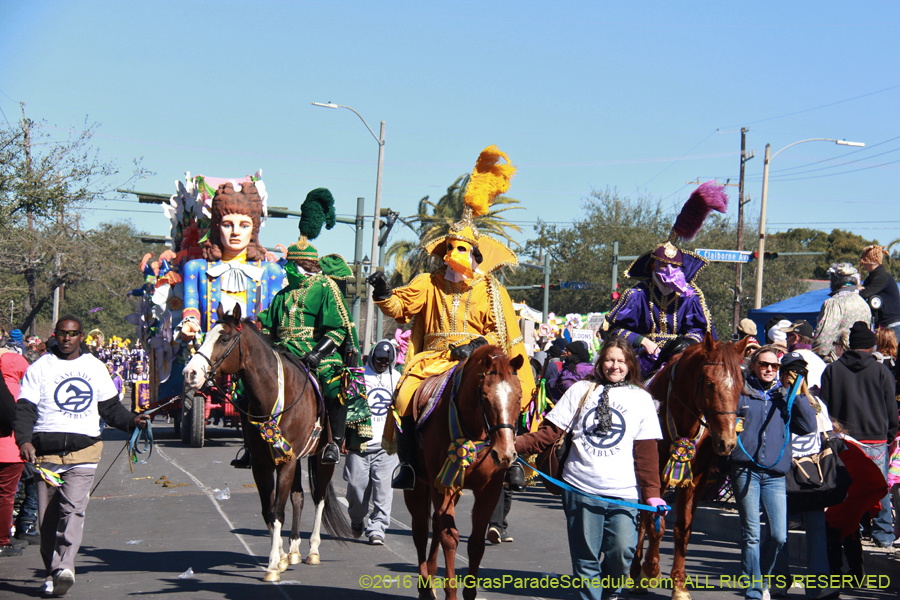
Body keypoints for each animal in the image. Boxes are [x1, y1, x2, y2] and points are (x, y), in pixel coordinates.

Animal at [183, 304, 352, 580]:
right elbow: (268, 510)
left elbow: (277, 510)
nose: (190, 374)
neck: (272, 394)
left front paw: (273, 565)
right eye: (205, 335)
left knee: (319, 497)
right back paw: (293, 550)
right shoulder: (264, 463)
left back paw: (313, 551)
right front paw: (281, 556)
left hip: (321, 458)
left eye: (224, 338)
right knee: (298, 497)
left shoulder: (287, 463)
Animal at [404, 344, 524, 600]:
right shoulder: (443, 484)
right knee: (420, 530)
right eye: (485, 398)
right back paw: (425, 587)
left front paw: (470, 592)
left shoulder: (489, 490)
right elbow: (450, 537)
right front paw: (450, 592)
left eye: (519, 397)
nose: (505, 454)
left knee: (435, 524)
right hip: (418, 485)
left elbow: (476, 543)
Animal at [628, 332, 748, 600]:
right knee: (642, 516)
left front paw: (679, 586)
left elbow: (683, 528)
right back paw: (635, 570)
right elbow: (654, 521)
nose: (727, 442)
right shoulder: (655, 473)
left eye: (740, 386)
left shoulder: (696, 477)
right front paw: (650, 568)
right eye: (710, 384)